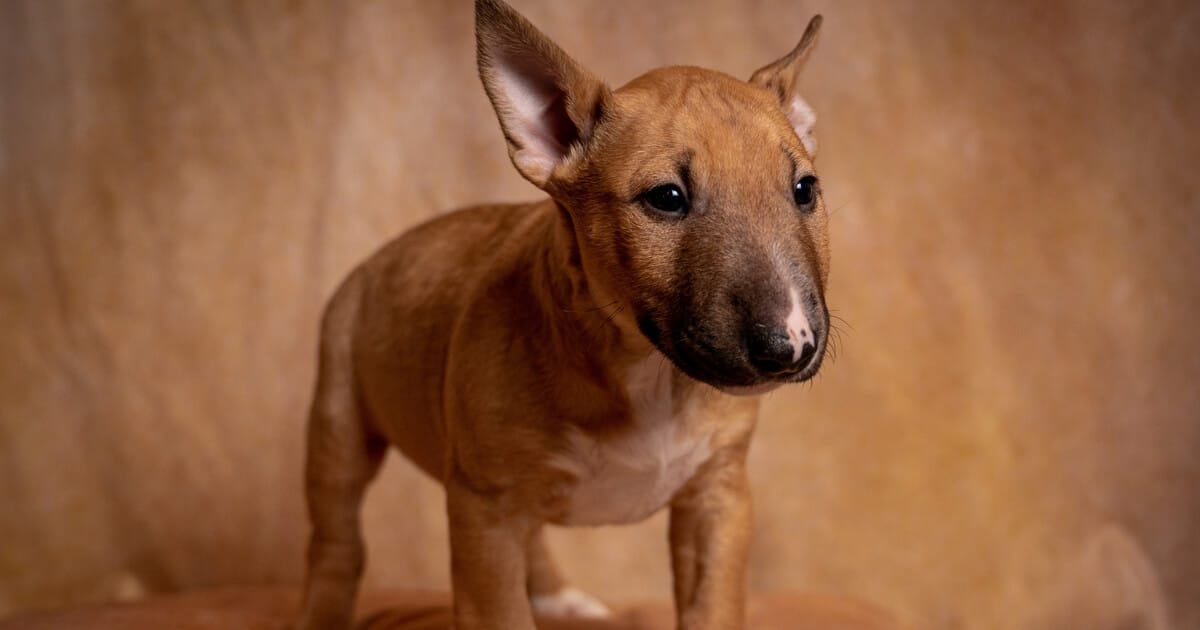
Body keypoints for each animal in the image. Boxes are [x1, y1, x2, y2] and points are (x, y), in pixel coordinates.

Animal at [295, 1, 830, 628]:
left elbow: (713, 607)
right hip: (338, 417)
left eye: (804, 188)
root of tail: (376, 259)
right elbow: (499, 612)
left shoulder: (717, 498)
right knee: (337, 541)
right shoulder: (485, 510)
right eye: (667, 198)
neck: (648, 371)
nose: (790, 345)